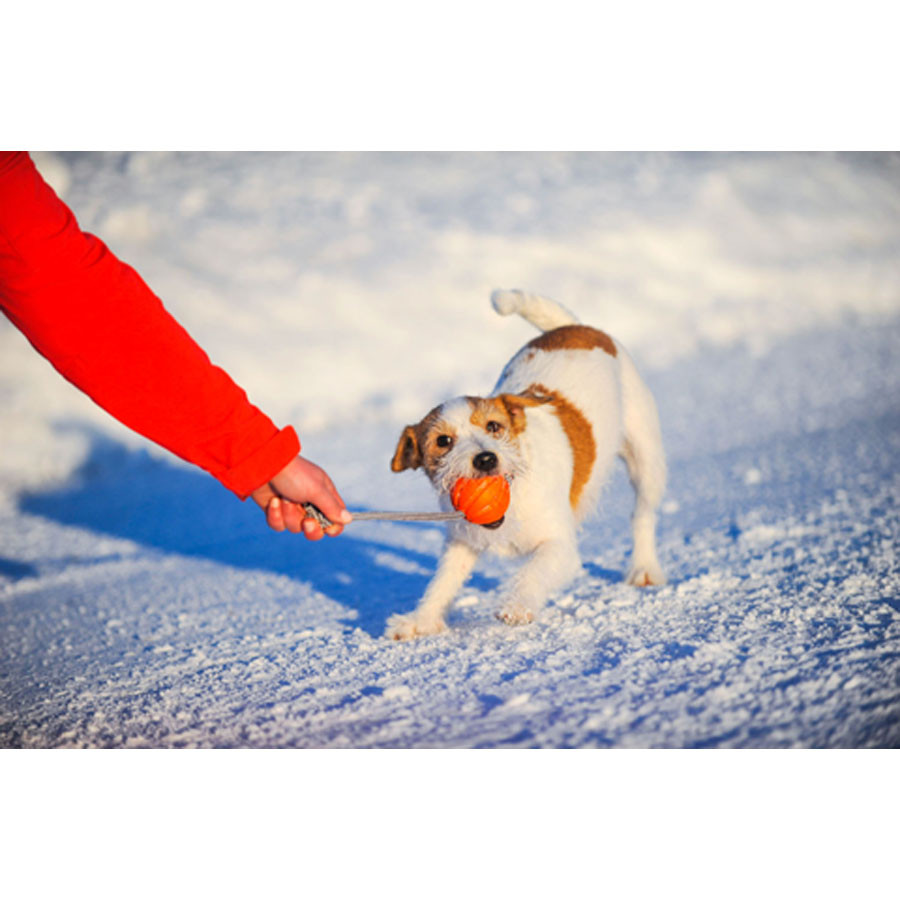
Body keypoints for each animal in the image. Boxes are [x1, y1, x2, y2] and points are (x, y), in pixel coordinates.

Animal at [384, 290, 664, 640]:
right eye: (443, 441)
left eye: (493, 426)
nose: (486, 458)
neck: (514, 494)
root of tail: (576, 327)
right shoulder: (461, 542)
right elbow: (443, 581)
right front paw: (420, 620)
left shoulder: (559, 546)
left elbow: (535, 570)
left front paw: (516, 606)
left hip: (645, 456)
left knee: (642, 513)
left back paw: (644, 568)